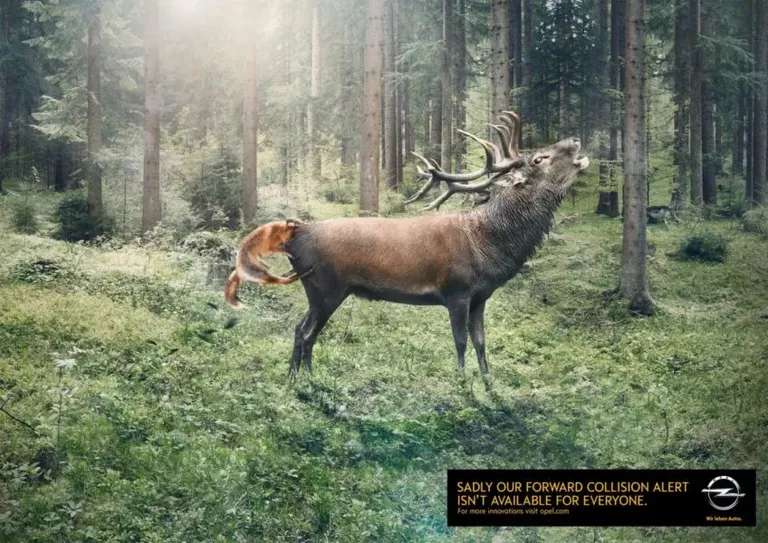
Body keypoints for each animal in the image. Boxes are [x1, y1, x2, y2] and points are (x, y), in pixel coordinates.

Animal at [231, 112, 589, 378]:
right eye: (540, 158)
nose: (575, 139)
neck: (489, 246)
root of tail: (297, 234)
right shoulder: (456, 291)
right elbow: (460, 342)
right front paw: (464, 387)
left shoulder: (480, 297)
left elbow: (481, 343)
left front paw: (488, 384)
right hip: (326, 287)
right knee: (307, 333)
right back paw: (306, 378)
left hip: (318, 291)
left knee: (298, 328)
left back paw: (294, 377)